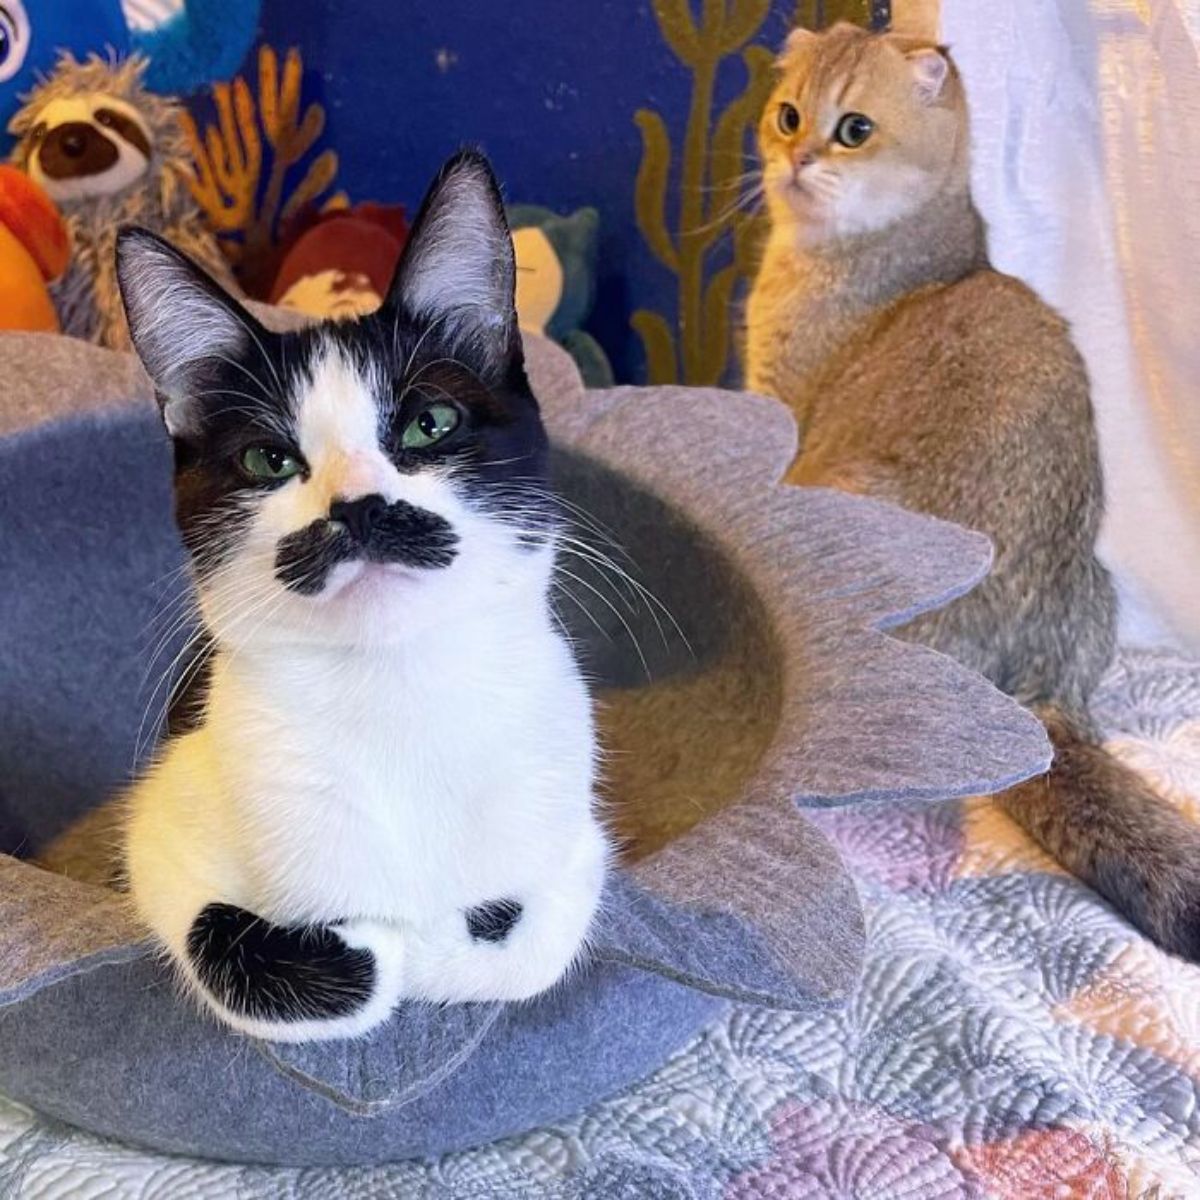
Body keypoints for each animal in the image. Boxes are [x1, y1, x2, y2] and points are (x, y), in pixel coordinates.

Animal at [114, 154, 609, 1046]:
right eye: (269, 460)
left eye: (429, 424)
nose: (358, 507)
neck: (395, 692)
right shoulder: (160, 821)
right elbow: (245, 941)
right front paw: (379, 940)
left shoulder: (575, 834)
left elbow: (527, 938)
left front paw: (439, 942)